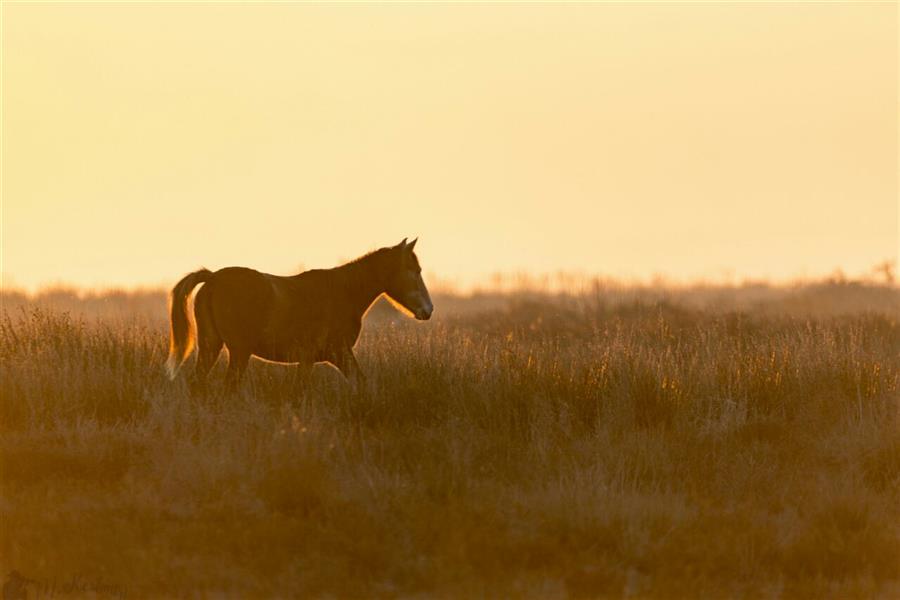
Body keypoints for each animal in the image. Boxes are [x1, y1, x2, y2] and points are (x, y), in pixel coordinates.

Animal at [169, 237, 436, 392]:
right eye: (415, 270)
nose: (428, 310)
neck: (342, 292)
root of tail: (213, 278)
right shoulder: (326, 355)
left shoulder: (331, 357)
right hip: (238, 352)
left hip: (210, 345)